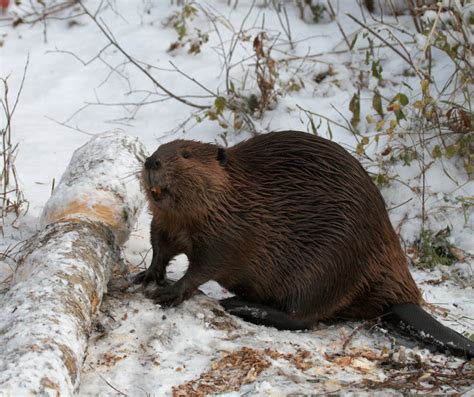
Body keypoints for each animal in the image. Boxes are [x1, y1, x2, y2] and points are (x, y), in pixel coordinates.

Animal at [135, 131, 474, 358]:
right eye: (160, 148)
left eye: (186, 155)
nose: (152, 160)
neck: (234, 195)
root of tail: (400, 298)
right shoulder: (167, 224)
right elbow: (160, 247)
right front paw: (146, 275)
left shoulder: (230, 231)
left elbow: (206, 265)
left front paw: (170, 291)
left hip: (328, 264)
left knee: (303, 317)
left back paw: (238, 305)